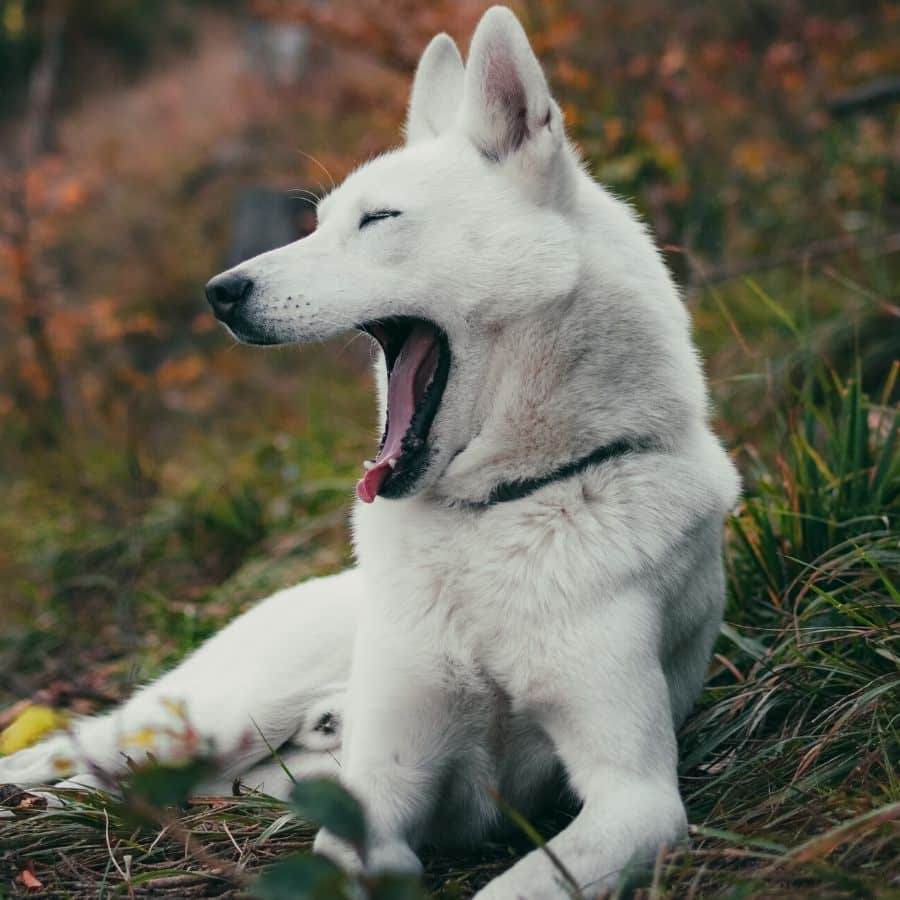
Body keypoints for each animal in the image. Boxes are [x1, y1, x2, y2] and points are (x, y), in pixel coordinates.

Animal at [0, 8, 740, 900]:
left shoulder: (634, 794)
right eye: (319, 222)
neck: (492, 516)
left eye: (379, 220)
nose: (219, 294)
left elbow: (517, 883)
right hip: (199, 724)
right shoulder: (381, 790)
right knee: (57, 751)